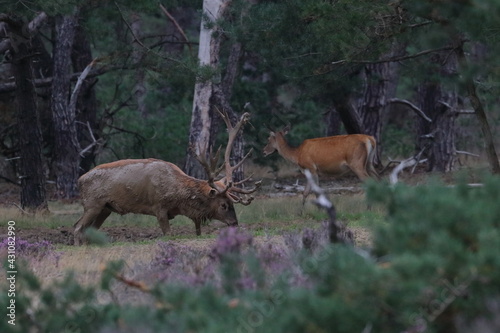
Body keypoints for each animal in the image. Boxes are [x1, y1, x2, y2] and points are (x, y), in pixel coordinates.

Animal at [76, 111, 262, 244]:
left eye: (232, 203)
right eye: (223, 205)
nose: (234, 224)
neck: (179, 198)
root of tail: (79, 180)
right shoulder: (158, 207)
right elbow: (168, 234)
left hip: (105, 208)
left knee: (89, 230)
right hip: (92, 204)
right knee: (78, 227)